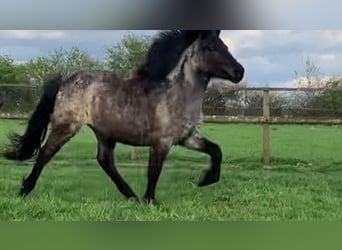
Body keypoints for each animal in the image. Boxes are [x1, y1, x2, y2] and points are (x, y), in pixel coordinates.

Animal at [3, 30, 243, 204]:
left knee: (105, 161)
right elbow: (154, 172)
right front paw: (150, 201)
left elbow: (216, 151)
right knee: (45, 153)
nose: (239, 72)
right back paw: (24, 190)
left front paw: (206, 180)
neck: (177, 95)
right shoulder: (162, 142)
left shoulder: (188, 137)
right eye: (210, 48)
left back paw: (131, 196)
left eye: (225, 46)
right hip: (67, 126)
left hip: (104, 134)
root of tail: (65, 82)